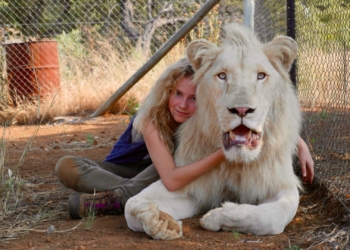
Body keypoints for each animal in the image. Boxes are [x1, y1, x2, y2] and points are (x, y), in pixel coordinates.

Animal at [124, 23, 302, 240]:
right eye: (222, 75)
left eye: (261, 76)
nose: (241, 109)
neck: (236, 164)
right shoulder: (191, 183)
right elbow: (131, 205)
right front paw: (160, 222)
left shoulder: (279, 183)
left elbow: (273, 217)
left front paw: (218, 216)